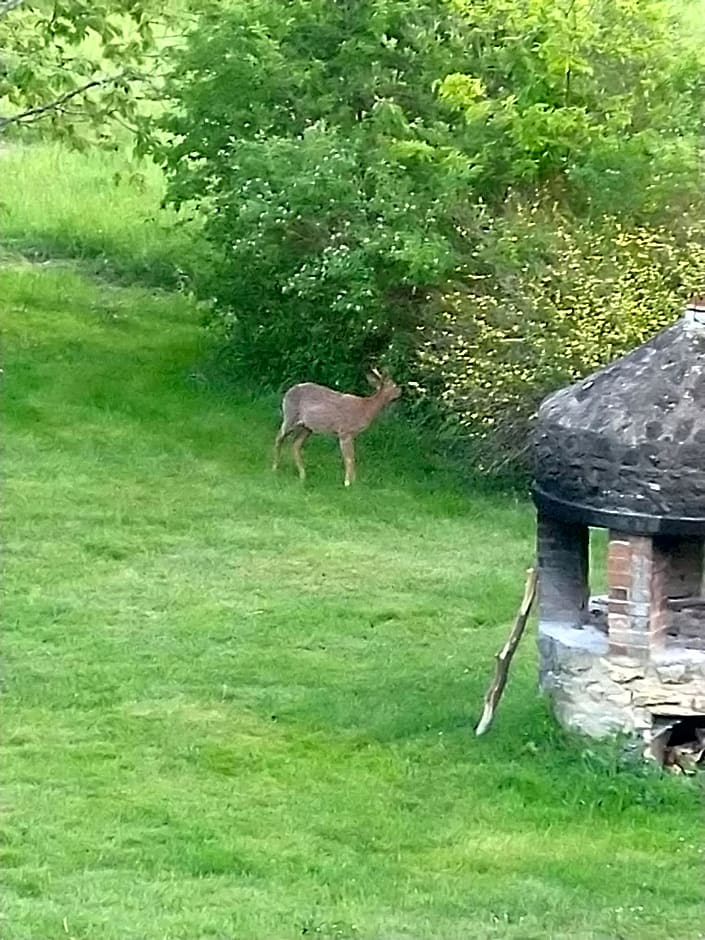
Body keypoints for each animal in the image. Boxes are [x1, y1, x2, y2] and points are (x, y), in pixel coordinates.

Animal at [270, 366, 398, 488]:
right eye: (393, 384)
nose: (400, 391)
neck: (366, 408)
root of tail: (288, 392)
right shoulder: (344, 431)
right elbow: (348, 459)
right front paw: (347, 482)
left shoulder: (352, 435)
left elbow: (353, 457)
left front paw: (354, 481)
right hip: (290, 416)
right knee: (279, 437)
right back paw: (275, 467)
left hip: (307, 427)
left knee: (296, 444)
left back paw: (302, 474)